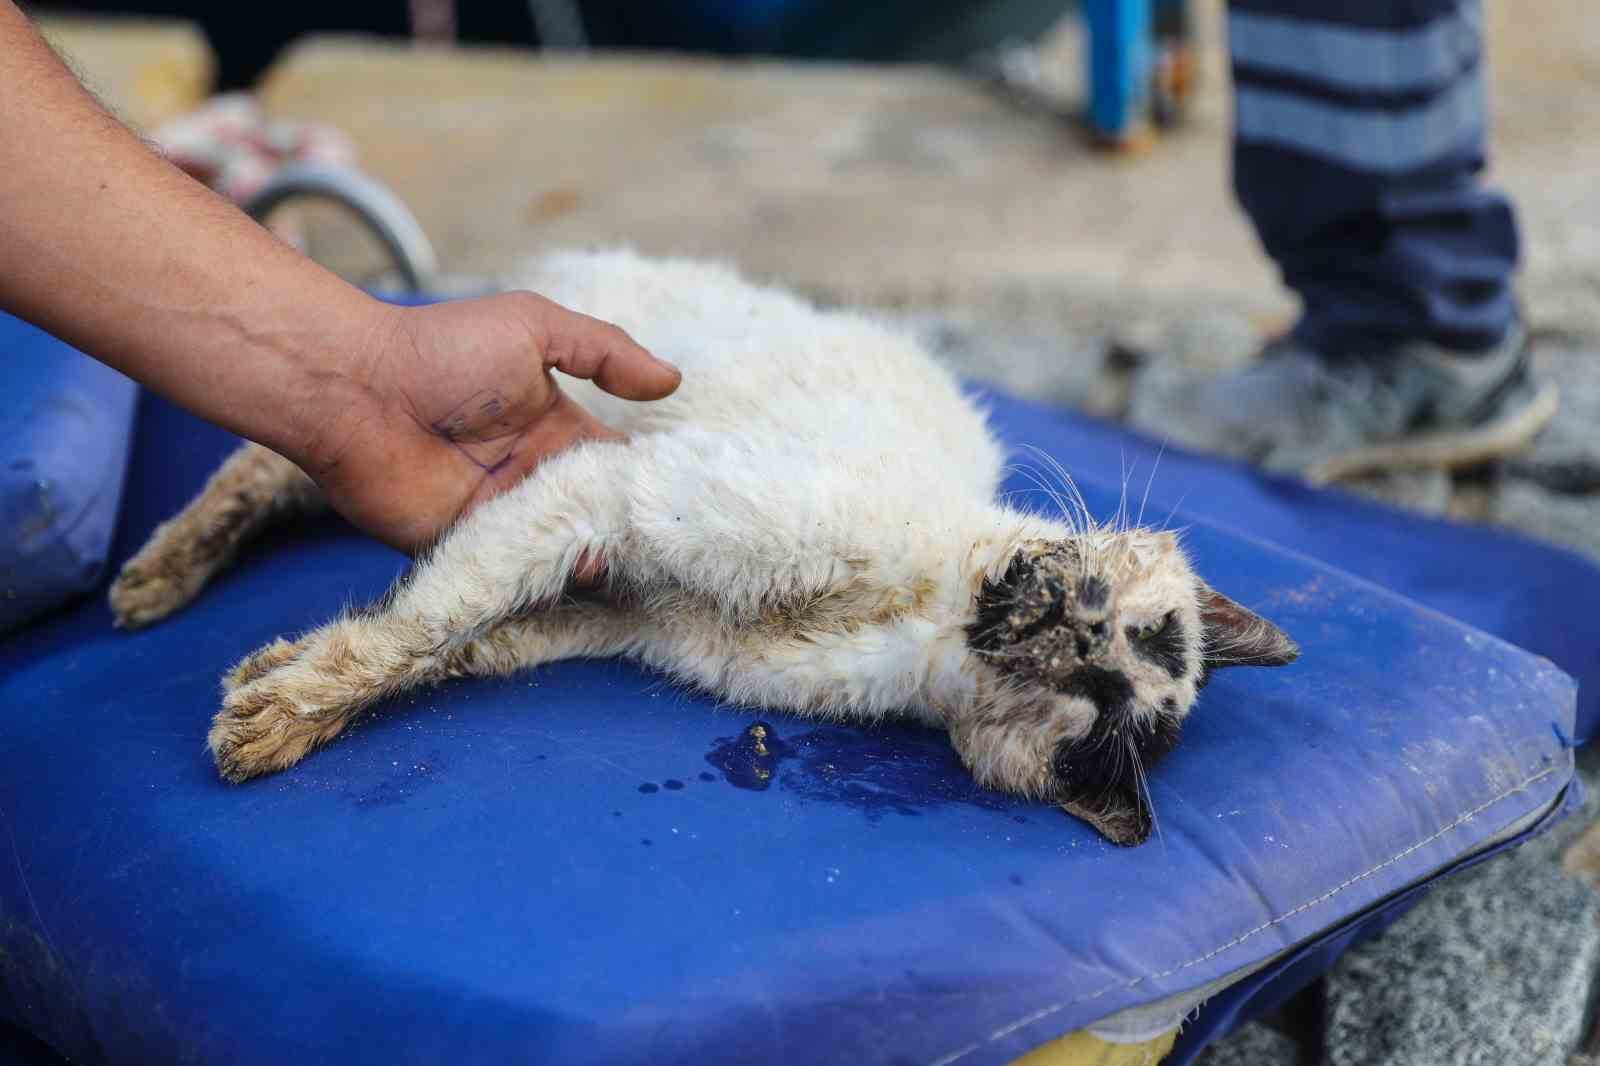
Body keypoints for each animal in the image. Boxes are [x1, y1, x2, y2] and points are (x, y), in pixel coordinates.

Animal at [112, 246, 1292, 838]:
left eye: (1100, 702)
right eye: (1129, 636)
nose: (1084, 633)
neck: (912, 620)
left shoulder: (596, 605)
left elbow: (432, 640)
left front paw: (270, 684)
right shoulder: (617, 496)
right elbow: (418, 626)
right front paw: (270, 724)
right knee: (263, 454)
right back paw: (151, 582)